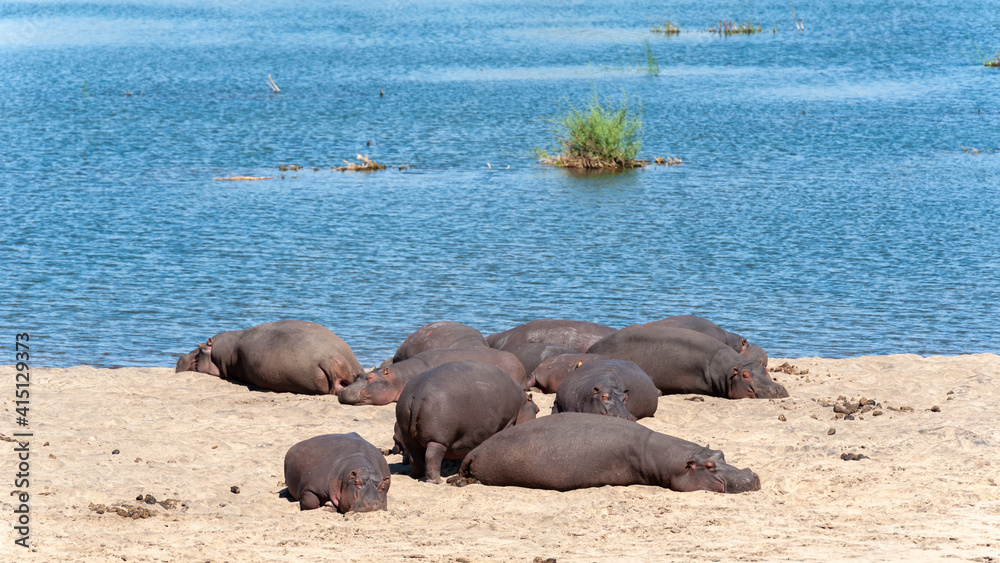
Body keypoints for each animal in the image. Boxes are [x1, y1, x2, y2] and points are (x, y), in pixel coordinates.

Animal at [394, 361, 538, 483]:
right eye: (538, 409)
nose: (538, 408)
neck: (522, 403)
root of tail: (418, 394)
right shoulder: (508, 422)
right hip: (437, 439)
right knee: (431, 456)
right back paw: (436, 481)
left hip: (408, 433)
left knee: (414, 455)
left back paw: (417, 475)